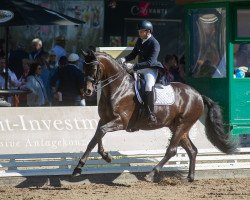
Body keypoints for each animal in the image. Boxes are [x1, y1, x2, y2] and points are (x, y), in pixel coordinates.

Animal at [72, 50, 236, 181]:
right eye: (83, 68)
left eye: (93, 67)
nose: (87, 91)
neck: (118, 87)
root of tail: (198, 95)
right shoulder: (104, 120)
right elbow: (94, 139)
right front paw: (80, 167)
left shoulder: (121, 121)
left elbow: (101, 132)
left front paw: (105, 157)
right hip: (178, 127)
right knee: (192, 150)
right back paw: (190, 177)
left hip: (182, 124)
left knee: (172, 150)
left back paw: (151, 174)